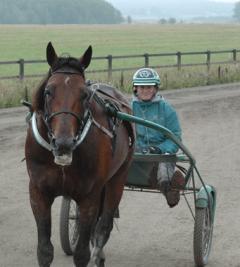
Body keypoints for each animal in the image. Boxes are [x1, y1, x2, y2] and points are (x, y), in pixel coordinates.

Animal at [25, 43, 135, 266]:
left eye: (84, 94)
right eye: (48, 91)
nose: (63, 143)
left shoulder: (89, 196)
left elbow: (82, 253)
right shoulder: (38, 192)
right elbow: (44, 250)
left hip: (117, 178)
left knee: (103, 227)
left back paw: (98, 255)